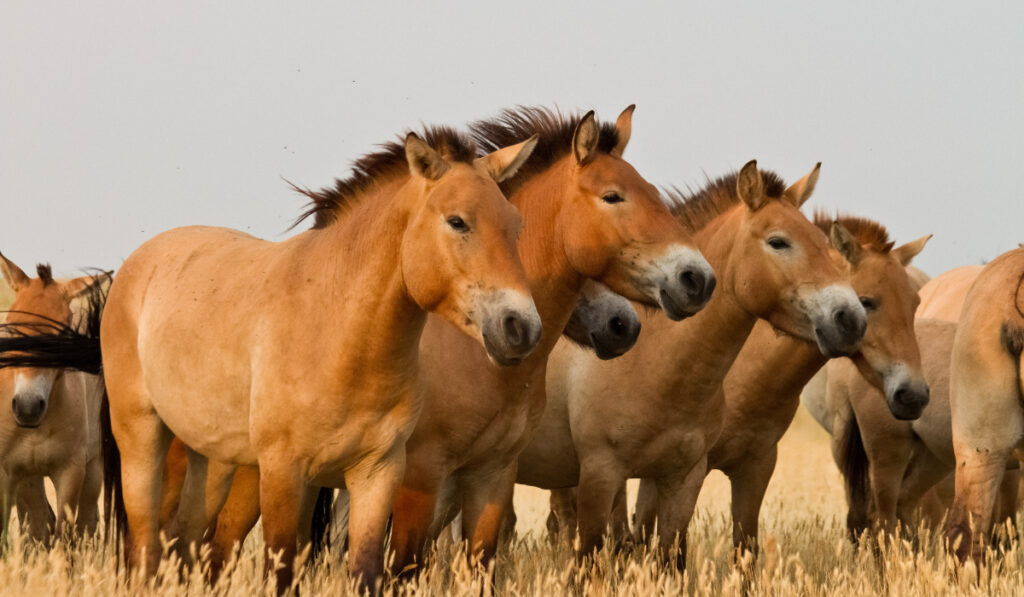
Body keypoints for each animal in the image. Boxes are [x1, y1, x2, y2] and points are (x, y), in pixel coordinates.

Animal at [0, 254, 105, 544]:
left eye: (61, 335)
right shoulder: (10, 472)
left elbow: (63, 534)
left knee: (86, 523)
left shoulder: (70, 472)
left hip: (93, 470)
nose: (27, 407)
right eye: (12, 330)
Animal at [97, 127, 544, 593]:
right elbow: (279, 572)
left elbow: (365, 571)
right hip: (142, 439)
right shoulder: (283, 472)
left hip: (206, 460)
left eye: (515, 225)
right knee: (146, 545)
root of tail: (135, 265)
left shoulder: (377, 473)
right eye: (457, 221)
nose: (521, 327)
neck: (338, 333)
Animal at [520, 159, 864, 569]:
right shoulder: (601, 475)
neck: (654, 363)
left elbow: (671, 556)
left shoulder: (684, 479)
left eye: (822, 242)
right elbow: (588, 557)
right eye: (778, 241)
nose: (851, 318)